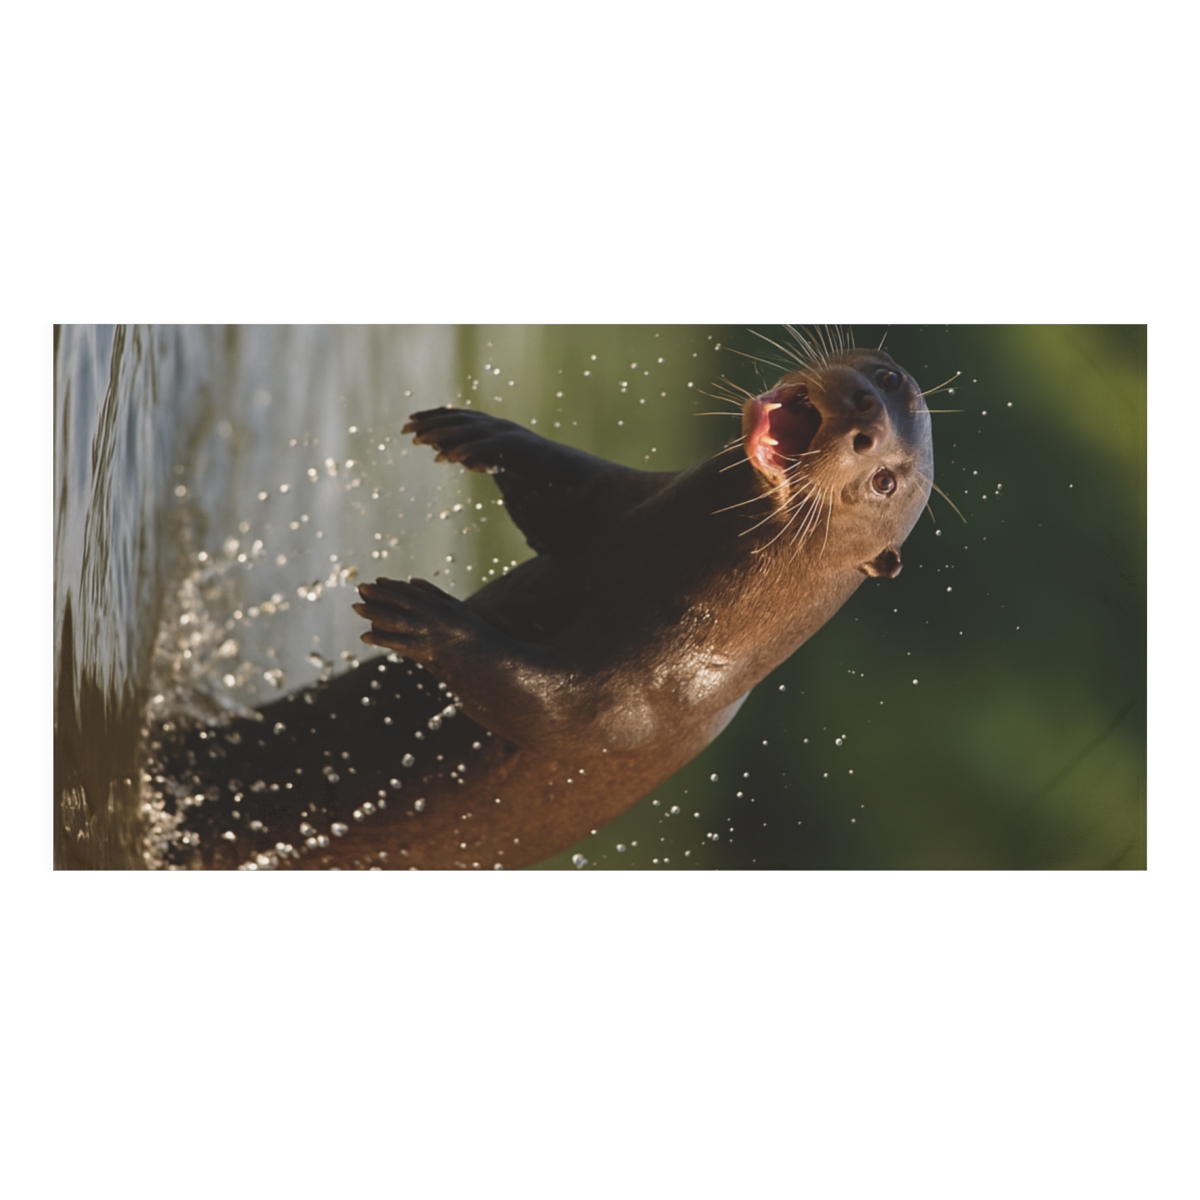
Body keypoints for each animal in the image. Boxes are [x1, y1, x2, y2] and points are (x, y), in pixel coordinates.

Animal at [152, 344, 932, 869]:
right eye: (889, 380)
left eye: (886, 481)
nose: (866, 417)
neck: (665, 581)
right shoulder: (623, 503)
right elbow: (565, 490)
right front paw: (484, 434)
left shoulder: (633, 699)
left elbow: (541, 704)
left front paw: (428, 621)